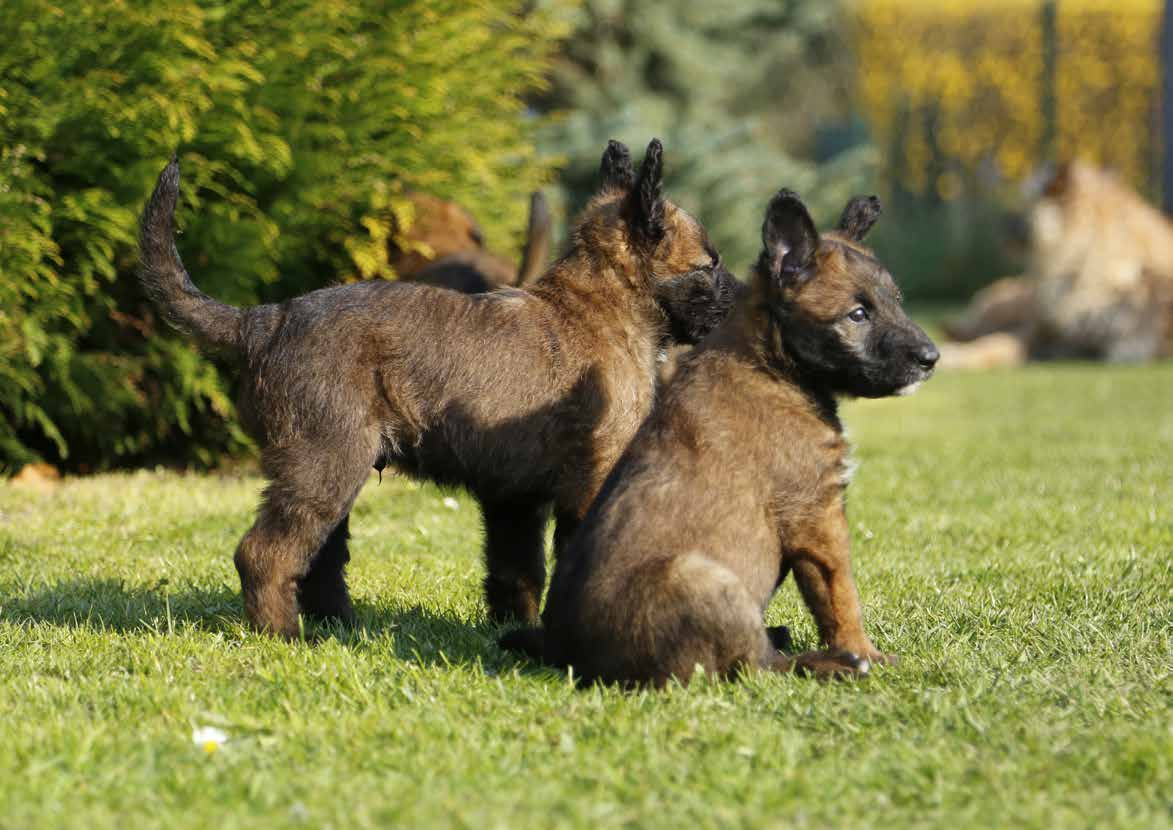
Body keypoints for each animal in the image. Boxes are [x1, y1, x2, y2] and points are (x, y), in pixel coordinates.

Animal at [139, 139, 731, 637]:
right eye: (711, 264)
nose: (744, 296)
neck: (598, 305)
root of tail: (265, 320)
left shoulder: (514, 498)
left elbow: (516, 571)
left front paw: (513, 631)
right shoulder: (589, 480)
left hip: (328, 473)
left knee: (320, 560)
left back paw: (340, 631)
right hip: (324, 466)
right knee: (264, 553)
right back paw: (282, 635)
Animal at [499, 189, 938, 689]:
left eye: (897, 303)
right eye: (858, 314)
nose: (931, 358)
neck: (772, 363)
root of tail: (564, 657)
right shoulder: (816, 516)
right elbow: (840, 597)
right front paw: (863, 653)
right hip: (705, 578)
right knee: (754, 667)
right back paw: (829, 664)